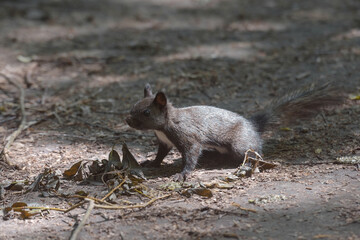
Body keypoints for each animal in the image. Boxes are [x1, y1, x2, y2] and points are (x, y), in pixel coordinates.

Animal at [126, 82, 344, 180]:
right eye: (133, 106)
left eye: (146, 112)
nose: (127, 120)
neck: (165, 125)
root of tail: (253, 126)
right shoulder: (164, 141)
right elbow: (160, 154)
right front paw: (151, 163)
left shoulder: (187, 137)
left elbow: (191, 155)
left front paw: (183, 174)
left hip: (239, 144)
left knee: (255, 154)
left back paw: (246, 164)